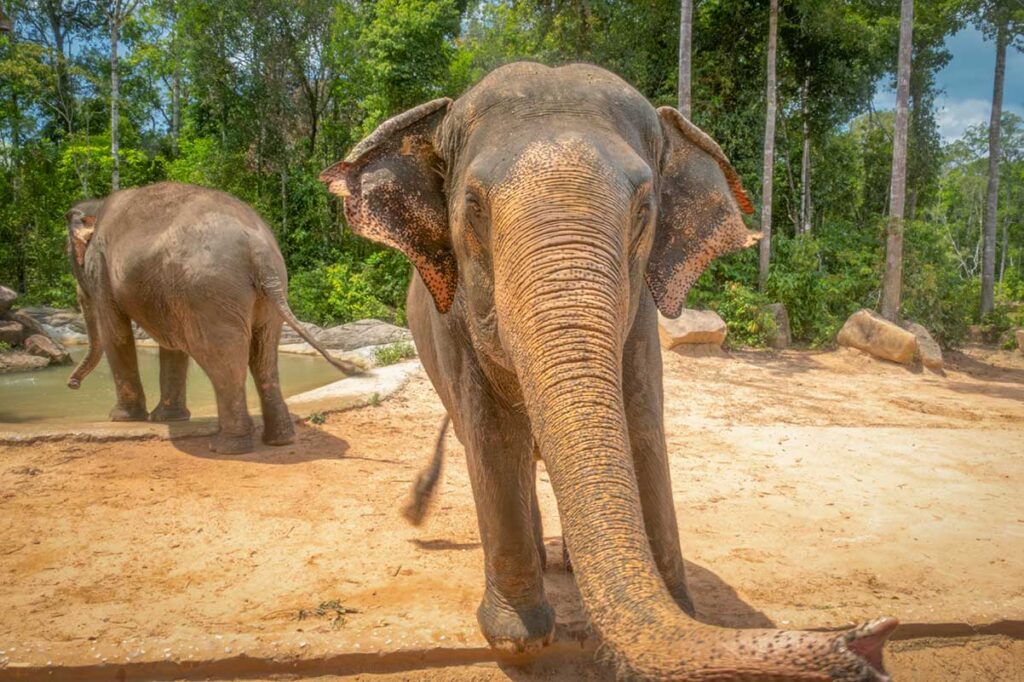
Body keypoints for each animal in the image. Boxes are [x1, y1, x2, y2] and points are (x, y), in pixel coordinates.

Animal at [65, 181, 360, 454]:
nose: (72, 384)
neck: (97, 205)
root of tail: (258, 249)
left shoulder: (100, 267)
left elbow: (116, 334)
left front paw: (122, 418)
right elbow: (170, 342)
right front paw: (168, 418)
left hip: (209, 293)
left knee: (222, 358)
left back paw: (227, 447)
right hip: (266, 293)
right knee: (264, 355)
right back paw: (280, 440)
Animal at [320, 63, 895, 680]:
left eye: (644, 209)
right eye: (473, 207)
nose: (871, 640)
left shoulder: (641, 319)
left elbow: (641, 429)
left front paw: (674, 610)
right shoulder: (454, 326)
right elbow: (493, 437)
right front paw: (517, 641)